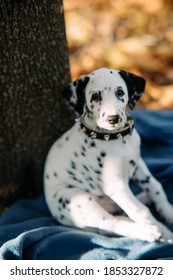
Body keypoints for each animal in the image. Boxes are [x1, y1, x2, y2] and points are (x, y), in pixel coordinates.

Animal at [43, 68, 173, 243]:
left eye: (120, 92)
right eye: (95, 96)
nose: (113, 119)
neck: (115, 138)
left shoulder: (138, 165)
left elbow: (155, 187)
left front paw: (168, 211)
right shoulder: (116, 187)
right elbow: (141, 211)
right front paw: (164, 232)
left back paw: (145, 198)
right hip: (78, 200)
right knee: (113, 223)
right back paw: (148, 232)